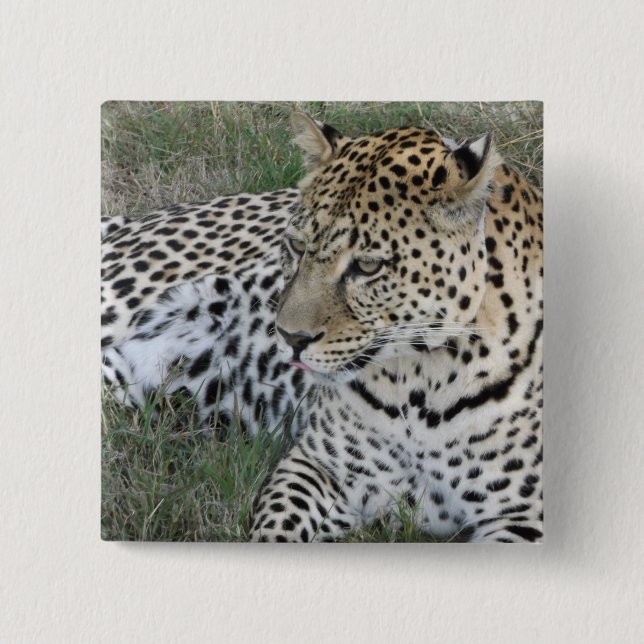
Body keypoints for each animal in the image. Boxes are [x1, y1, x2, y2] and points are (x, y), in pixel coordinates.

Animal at [102, 112, 543, 543]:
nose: (290, 338)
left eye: (367, 265)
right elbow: (276, 531)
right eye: (297, 246)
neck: (420, 384)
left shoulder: (521, 518)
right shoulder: (315, 466)